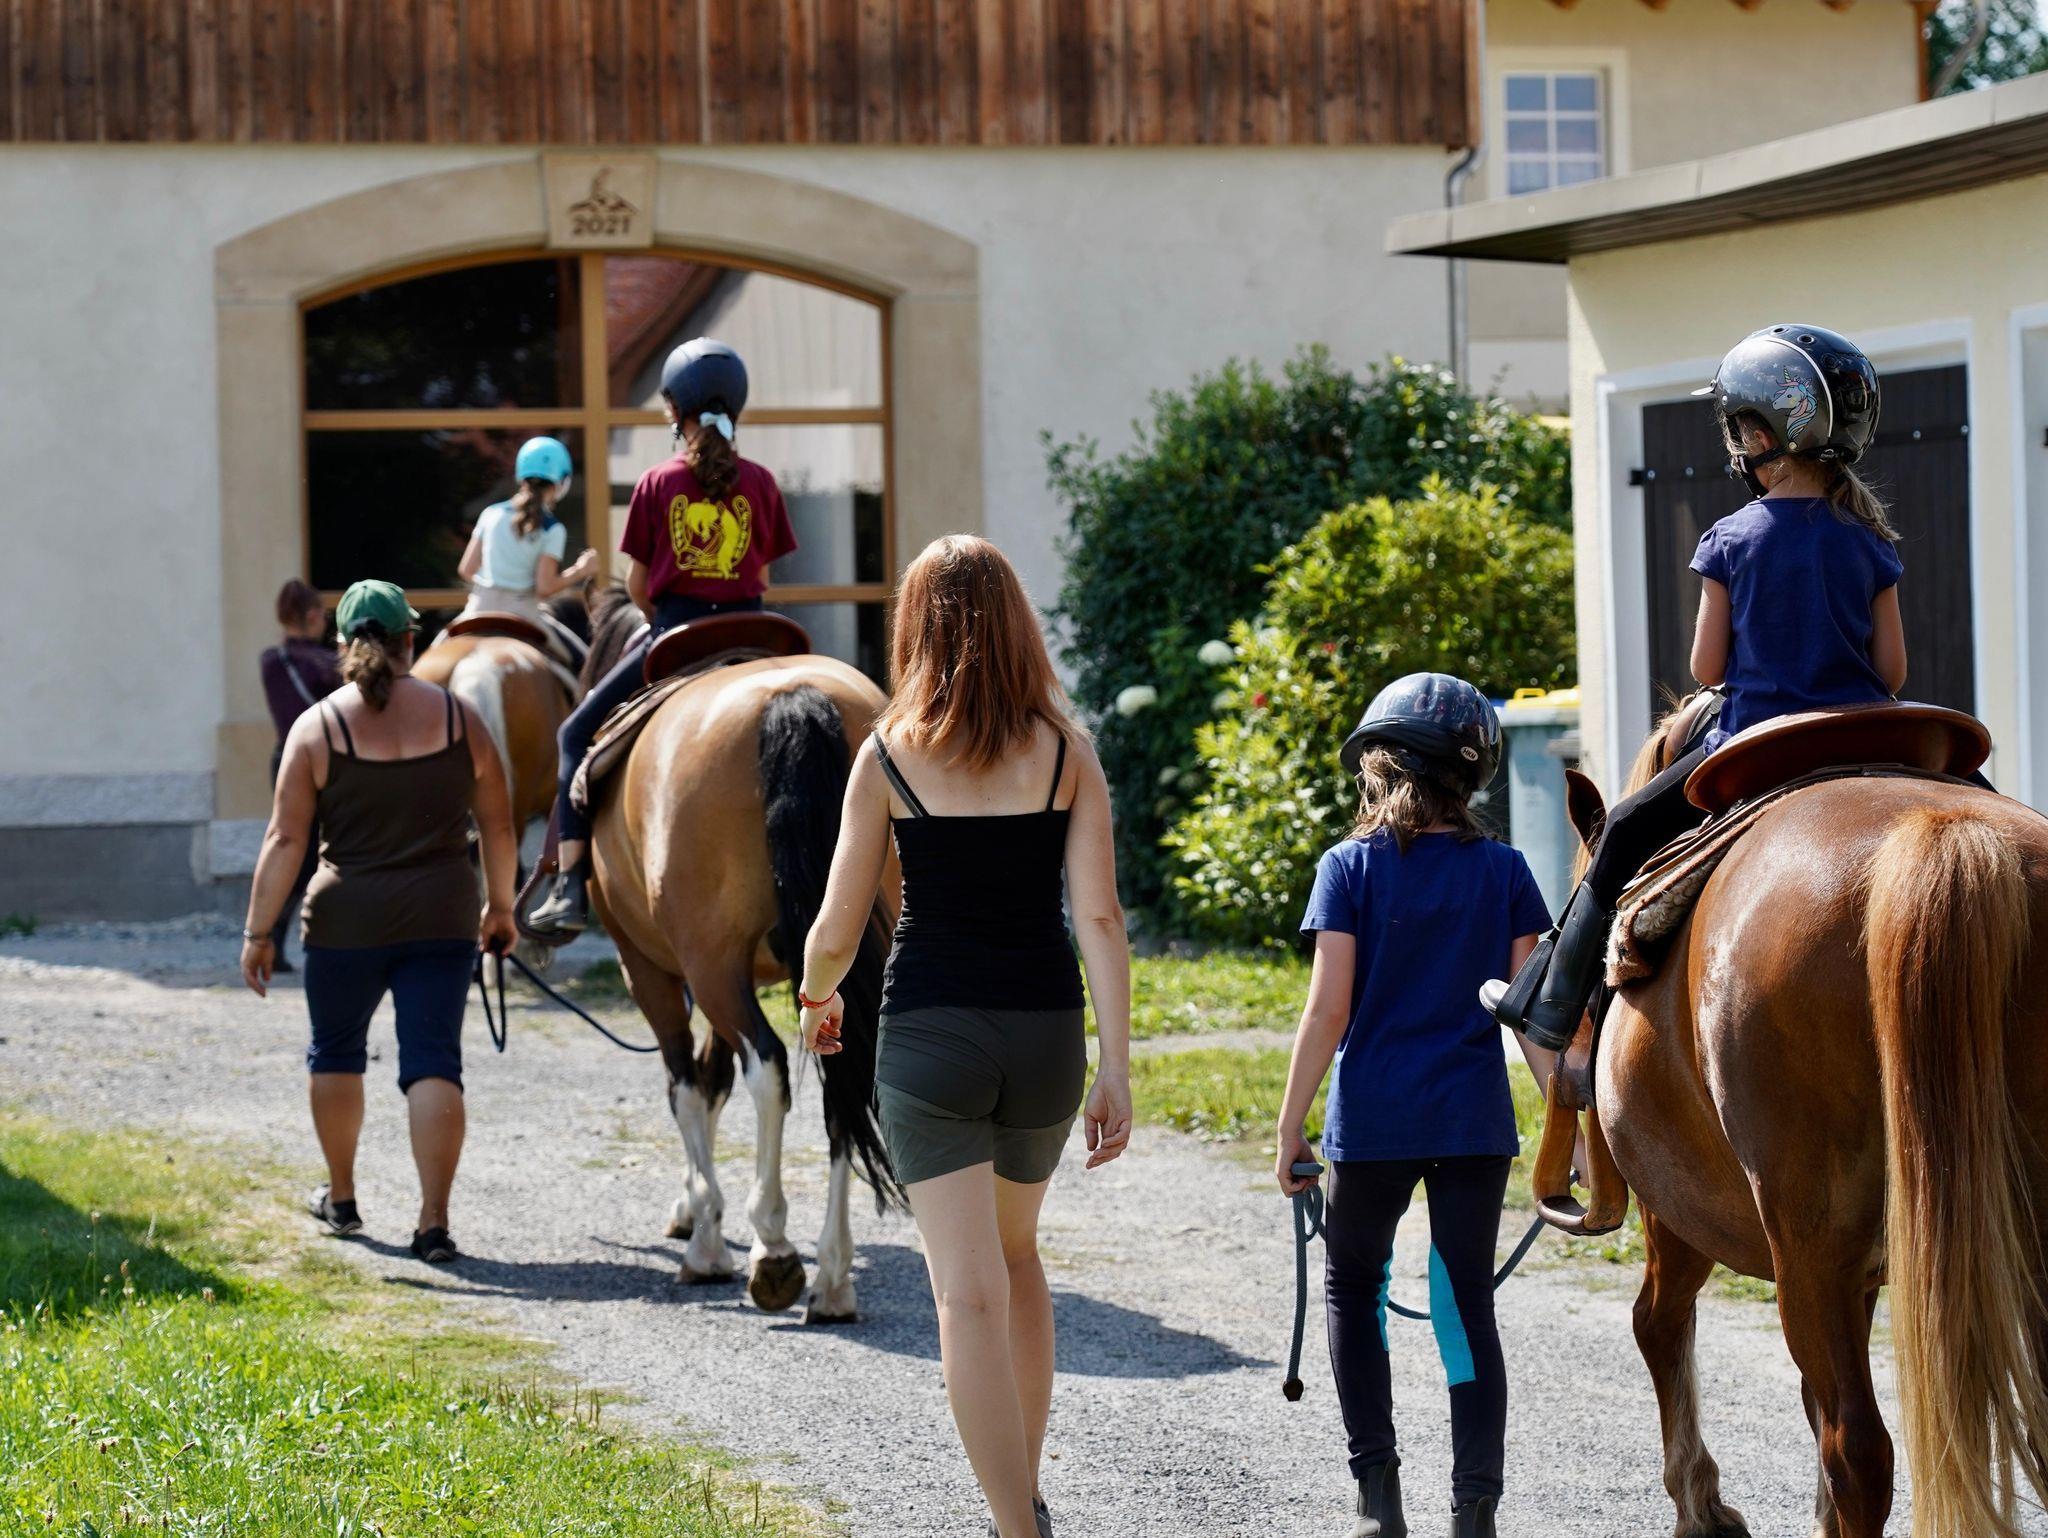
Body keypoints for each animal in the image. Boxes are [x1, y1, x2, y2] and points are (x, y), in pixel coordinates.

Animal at [576, 587, 900, 1321]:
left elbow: (688, 1086)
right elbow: (713, 1078)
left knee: (769, 1068)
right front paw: (695, 1213)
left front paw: (705, 1235)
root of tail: (795, 698)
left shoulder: (655, 970)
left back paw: (773, 1247)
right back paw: (832, 1275)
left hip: (707, 965)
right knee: (843, 1076)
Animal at [1560, 696, 2048, 1538]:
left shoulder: (1680, 1214)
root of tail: (1943, 835)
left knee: (1857, 1448)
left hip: (1801, 1242)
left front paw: (1700, 1501)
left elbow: (1659, 1325)